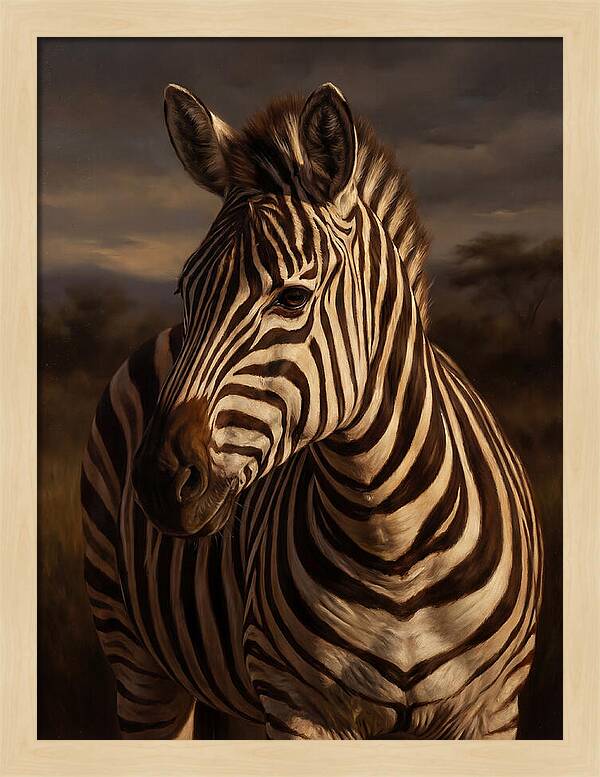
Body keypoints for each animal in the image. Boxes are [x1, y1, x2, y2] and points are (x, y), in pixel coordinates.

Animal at [81, 82, 543, 740]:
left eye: (293, 297)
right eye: (185, 291)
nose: (159, 480)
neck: (392, 544)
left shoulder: (492, 710)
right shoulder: (299, 705)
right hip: (136, 657)